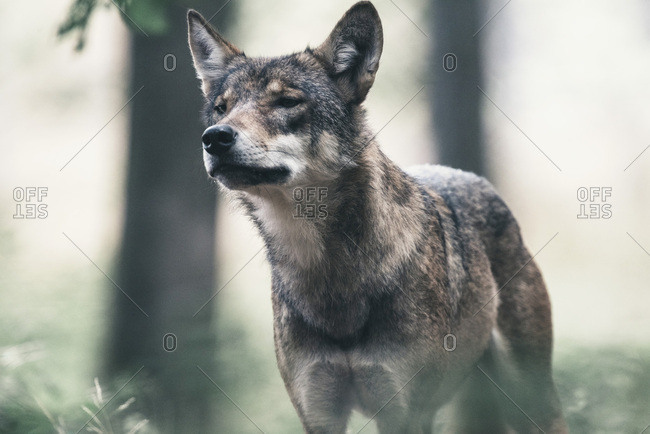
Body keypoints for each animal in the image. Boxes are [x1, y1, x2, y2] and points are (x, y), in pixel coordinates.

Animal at [187, 2, 567, 433]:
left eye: (286, 102)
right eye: (222, 108)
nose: (215, 137)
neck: (331, 277)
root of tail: (472, 177)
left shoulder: (404, 414)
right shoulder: (318, 415)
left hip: (530, 401)